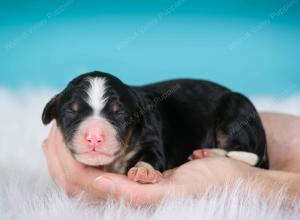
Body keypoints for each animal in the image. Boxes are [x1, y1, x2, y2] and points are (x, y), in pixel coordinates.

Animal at [41, 71, 268, 183]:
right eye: (71, 112)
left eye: (120, 114)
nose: (95, 136)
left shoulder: (152, 137)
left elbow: (152, 155)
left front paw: (144, 171)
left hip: (235, 113)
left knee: (244, 152)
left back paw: (206, 154)